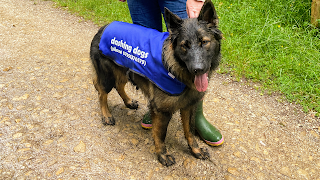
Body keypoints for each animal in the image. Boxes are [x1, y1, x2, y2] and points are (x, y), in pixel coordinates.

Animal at [89, 0, 221, 166]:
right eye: (184, 45)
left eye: (204, 42)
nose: (197, 69)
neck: (177, 70)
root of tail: (102, 28)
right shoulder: (161, 111)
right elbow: (161, 135)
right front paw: (162, 155)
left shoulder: (189, 106)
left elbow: (189, 131)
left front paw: (195, 150)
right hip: (108, 77)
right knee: (102, 94)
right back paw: (106, 115)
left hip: (125, 72)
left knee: (119, 86)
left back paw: (128, 102)